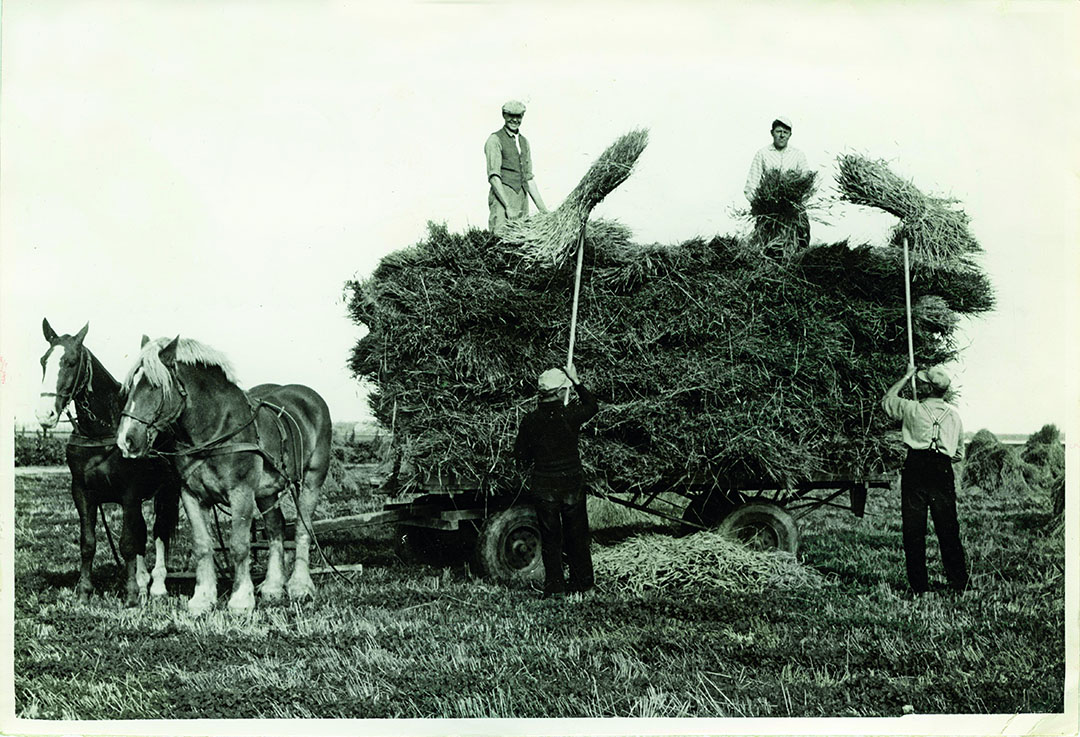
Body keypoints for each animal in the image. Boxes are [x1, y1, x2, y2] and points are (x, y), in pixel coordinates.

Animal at [35, 315, 179, 600]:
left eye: (71, 361)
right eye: (44, 360)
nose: (45, 414)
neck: (102, 431)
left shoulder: (130, 492)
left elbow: (127, 542)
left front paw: (131, 593)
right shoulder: (82, 492)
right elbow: (88, 542)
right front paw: (84, 591)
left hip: (168, 490)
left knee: (160, 531)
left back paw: (157, 585)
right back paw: (143, 579)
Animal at [114, 335, 330, 609]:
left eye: (155, 386)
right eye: (130, 386)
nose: (125, 440)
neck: (217, 428)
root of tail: (309, 397)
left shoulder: (241, 493)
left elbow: (239, 545)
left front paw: (240, 600)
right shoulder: (191, 495)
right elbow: (202, 545)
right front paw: (203, 598)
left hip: (312, 480)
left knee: (303, 528)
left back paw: (300, 585)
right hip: (267, 492)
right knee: (275, 528)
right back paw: (272, 586)